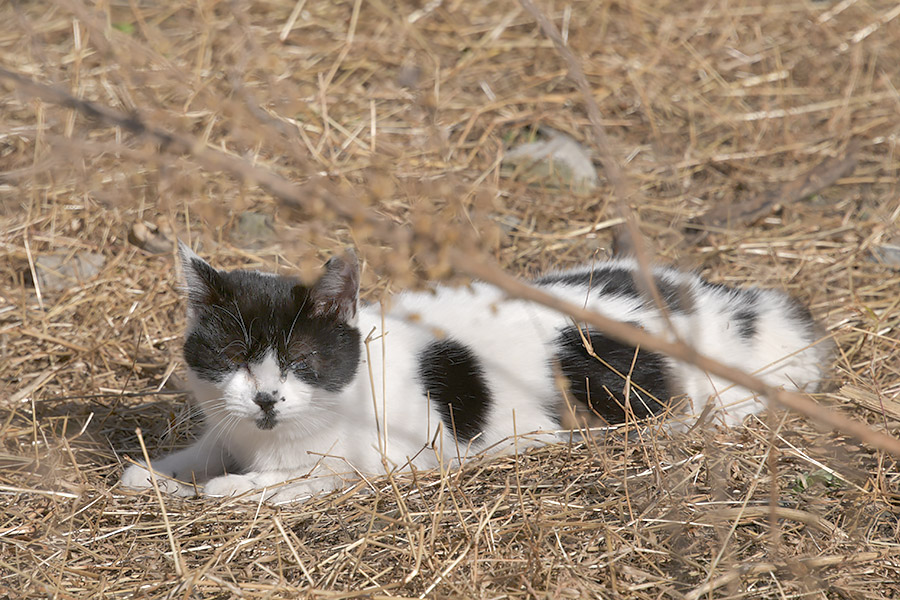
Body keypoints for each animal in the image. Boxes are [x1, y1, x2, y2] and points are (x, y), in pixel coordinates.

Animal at [121, 243, 828, 502]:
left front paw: (228, 488)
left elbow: (296, 481)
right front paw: (157, 473)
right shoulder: (228, 423)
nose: (267, 398)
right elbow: (202, 449)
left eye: (303, 363)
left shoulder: (390, 461)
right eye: (234, 361)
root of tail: (712, 304)